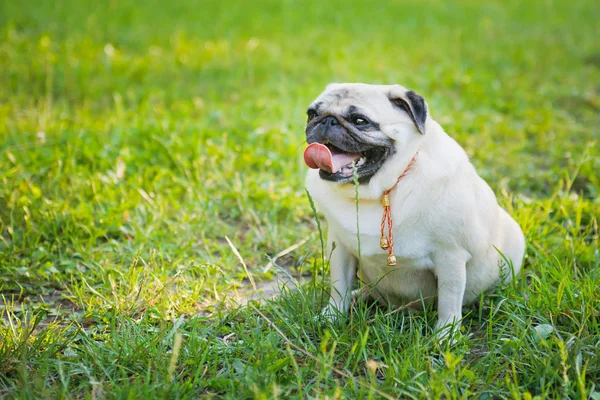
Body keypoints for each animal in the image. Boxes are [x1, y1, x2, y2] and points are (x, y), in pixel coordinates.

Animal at [304, 83, 524, 336]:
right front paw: (332, 316)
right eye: (311, 114)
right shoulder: (340, 247)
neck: (381, 192)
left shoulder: (451, 257)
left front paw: (445, 336)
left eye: (360, 120)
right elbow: (338, 285)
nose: (326, 120)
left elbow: (449, 301)